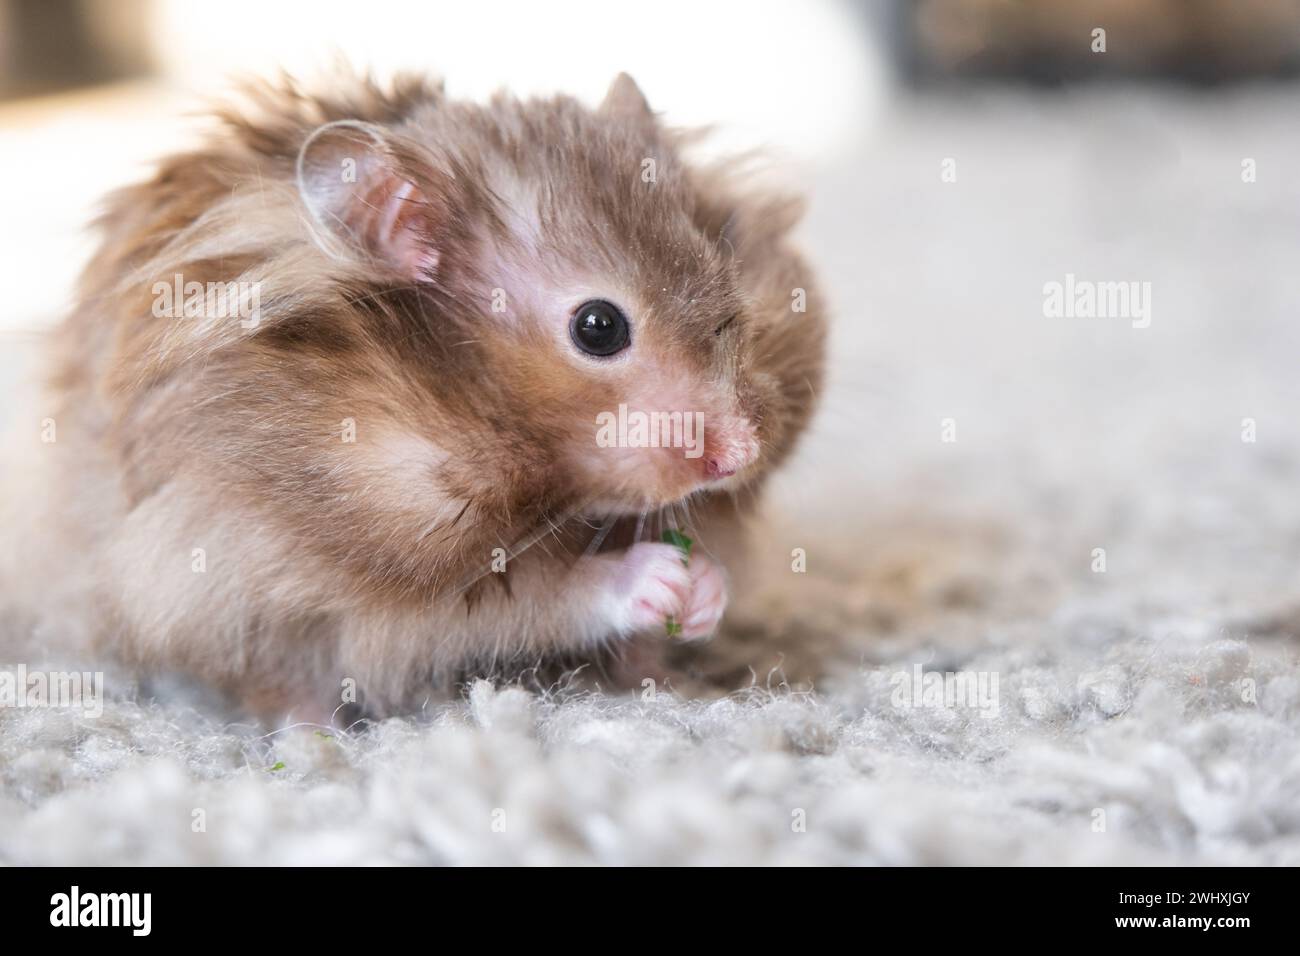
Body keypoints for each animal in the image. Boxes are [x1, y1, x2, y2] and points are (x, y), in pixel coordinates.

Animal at [12, 70, 821, 723]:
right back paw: (311, 738)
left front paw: (704, 588)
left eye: (726, 279)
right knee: (275, 683)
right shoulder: (342, 573)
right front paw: (656, 577)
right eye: (598, 327)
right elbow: (537, 597)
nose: (740, 454)